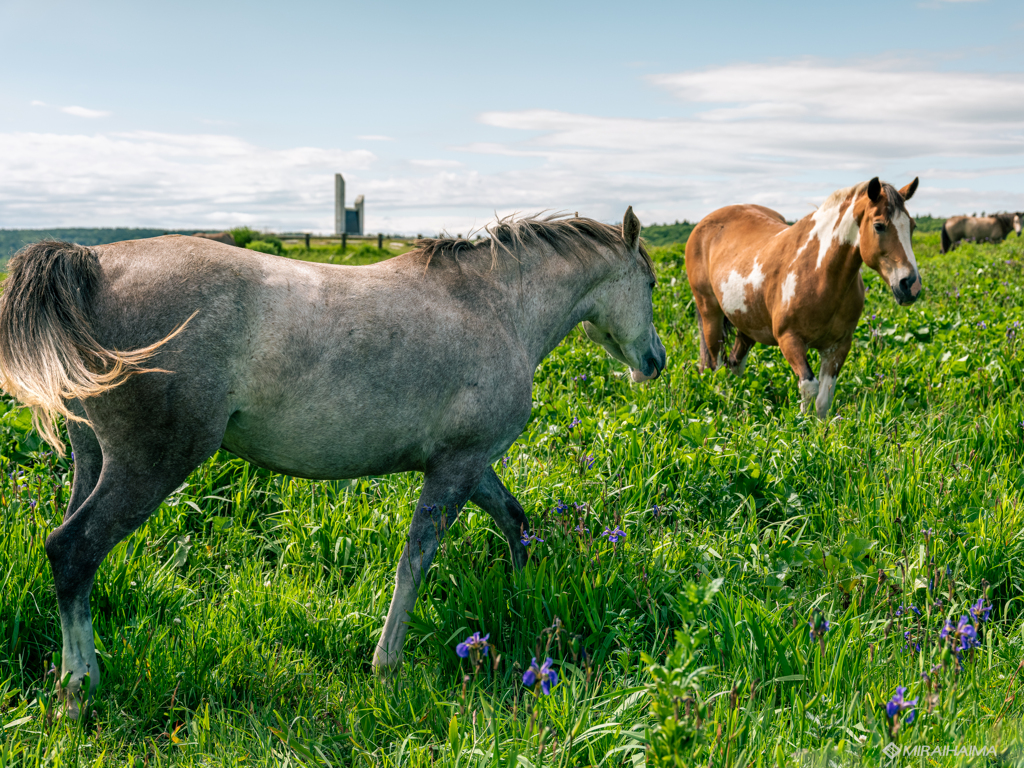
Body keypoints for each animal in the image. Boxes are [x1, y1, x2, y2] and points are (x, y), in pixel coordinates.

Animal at [0, 208, 663, 716]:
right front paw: (386, 665)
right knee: (73, 551)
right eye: (654, 285)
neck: (496, 307)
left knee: (72, 555)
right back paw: (79, 691)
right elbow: (415, 562)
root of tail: (91, 262)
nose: (654, 361)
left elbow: (515, 522)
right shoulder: (455, 468)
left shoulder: (471, 465)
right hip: (152, 465)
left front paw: (526, 597)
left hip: (94, 460)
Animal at [688, 178, 921, 421]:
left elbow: (824, 398)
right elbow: (810, 387)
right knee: (716, 365)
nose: (910, 285)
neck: (820, 273)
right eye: (879, 226)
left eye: (912, 226)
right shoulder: (790, 340)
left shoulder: (838, 346)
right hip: (710, 315)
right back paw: (722, 403)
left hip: (747, 323)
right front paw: (801, 425)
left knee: (734, 363)